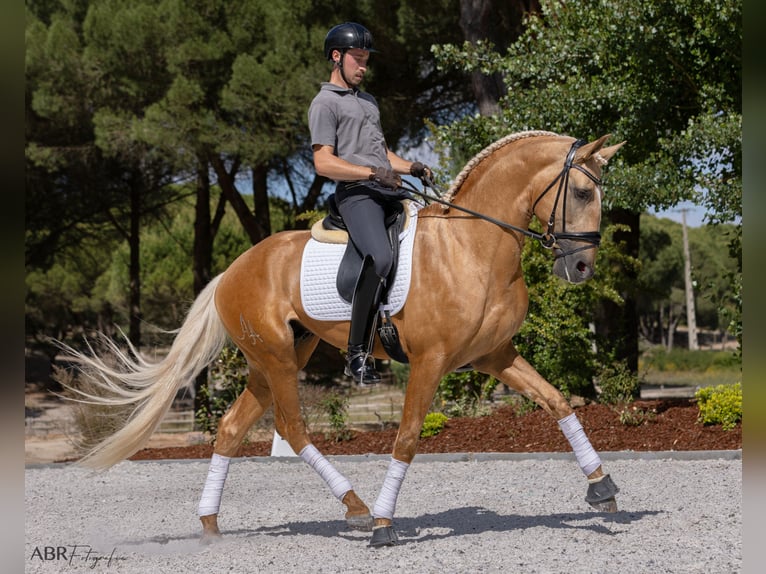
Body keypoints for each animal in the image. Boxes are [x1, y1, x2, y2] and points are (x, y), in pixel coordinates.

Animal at [63, 130, 628, 548]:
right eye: (582, 193)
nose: (581, 268)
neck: (472, 247)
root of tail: (231, 270)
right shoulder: (429, 361)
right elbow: (407, 437)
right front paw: (382, 524)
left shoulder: (494, 355)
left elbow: (556, 401)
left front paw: (602, 488)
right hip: (276, 359)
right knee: (292, 429)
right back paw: (356, 508)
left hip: (280, 357)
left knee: (230, 428)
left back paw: (211, 524)